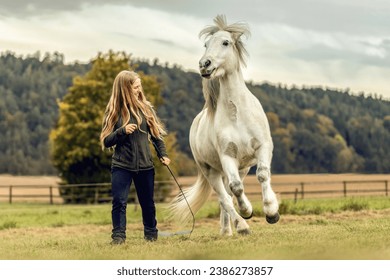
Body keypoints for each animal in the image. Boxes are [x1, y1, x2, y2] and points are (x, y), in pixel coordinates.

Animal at [171, 14, 280, 235]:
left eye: (225, 42)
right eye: (206, 44)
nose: (204, 64)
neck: (237, 113)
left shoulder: (263, 147)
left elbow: (263, 175)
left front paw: (272, 212)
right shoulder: (228, 156)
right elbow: (236, 188)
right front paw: (247, 212)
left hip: (240, 168)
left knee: (227, 195)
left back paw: (227, 230)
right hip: (211, 171)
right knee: (224, 197)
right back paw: (239, 226)